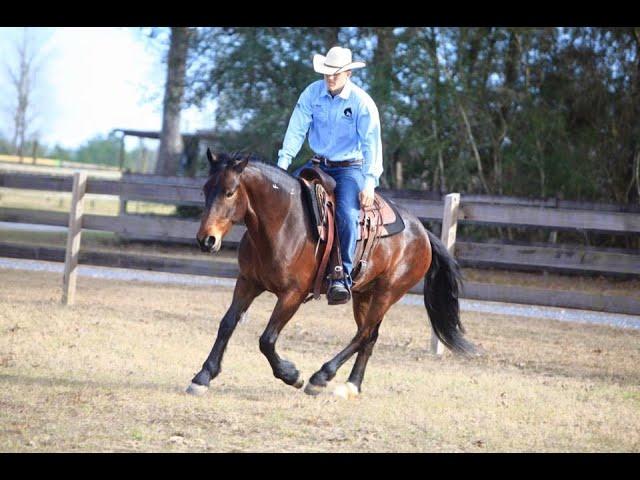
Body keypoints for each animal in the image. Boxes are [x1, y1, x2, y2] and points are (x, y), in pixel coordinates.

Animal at [185, 150, 476, 398]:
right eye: (205, 190)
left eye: (230, 192)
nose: (206, 240)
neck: (282, 224)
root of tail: (422, 232)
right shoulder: (248, 283)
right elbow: (227, 324)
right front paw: (203, 376)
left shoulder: (292, 295)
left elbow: (266, 339)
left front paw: (292, 375)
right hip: (364, 294)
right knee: (369, 336)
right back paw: (351, 385)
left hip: (388, 292)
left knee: (363, 334)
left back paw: (321, 376)